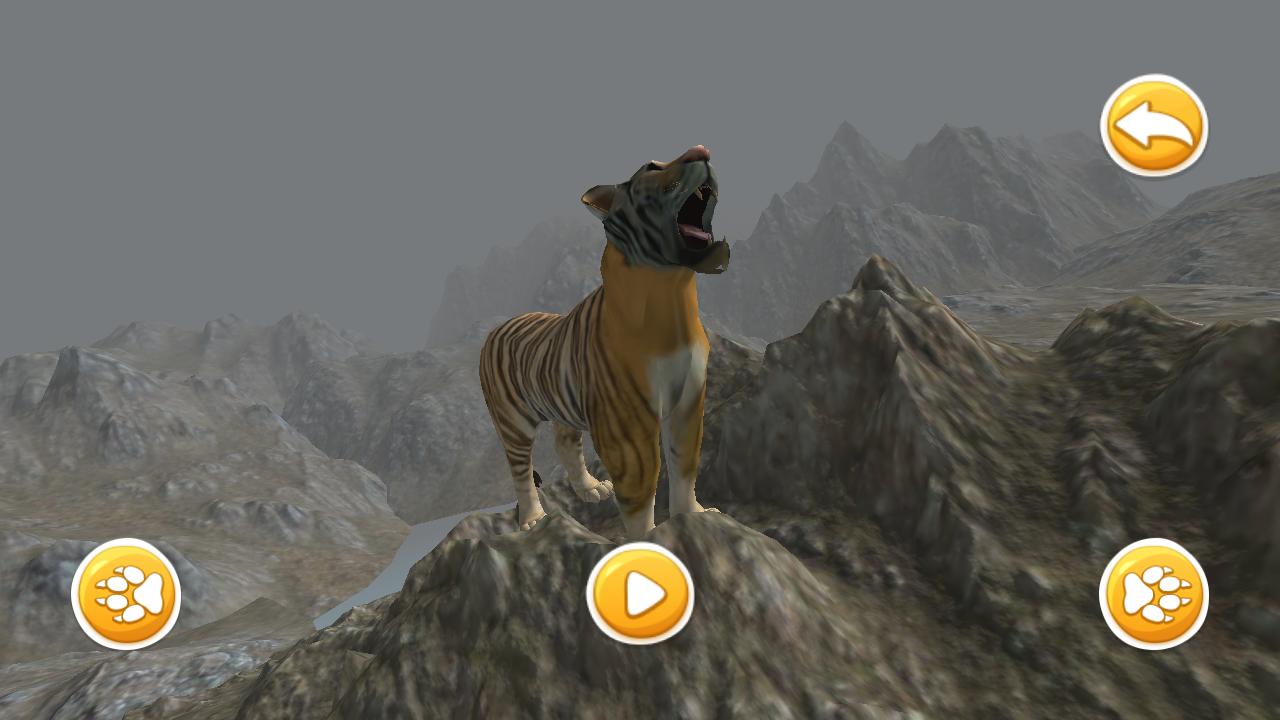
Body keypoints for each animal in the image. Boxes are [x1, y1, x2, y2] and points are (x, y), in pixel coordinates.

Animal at [479, 145, 731, 540]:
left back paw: (591, 489)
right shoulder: (629, 423)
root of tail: (496, 329)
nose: (701, 151)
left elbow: (685, 464)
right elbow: (641, 487)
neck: (672, 292)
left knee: (565, 443)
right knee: (520, 470)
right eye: (652, 167)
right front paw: (646, 541)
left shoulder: (689, 401)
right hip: (513, 421)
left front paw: (694, 514)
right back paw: (533, 518)